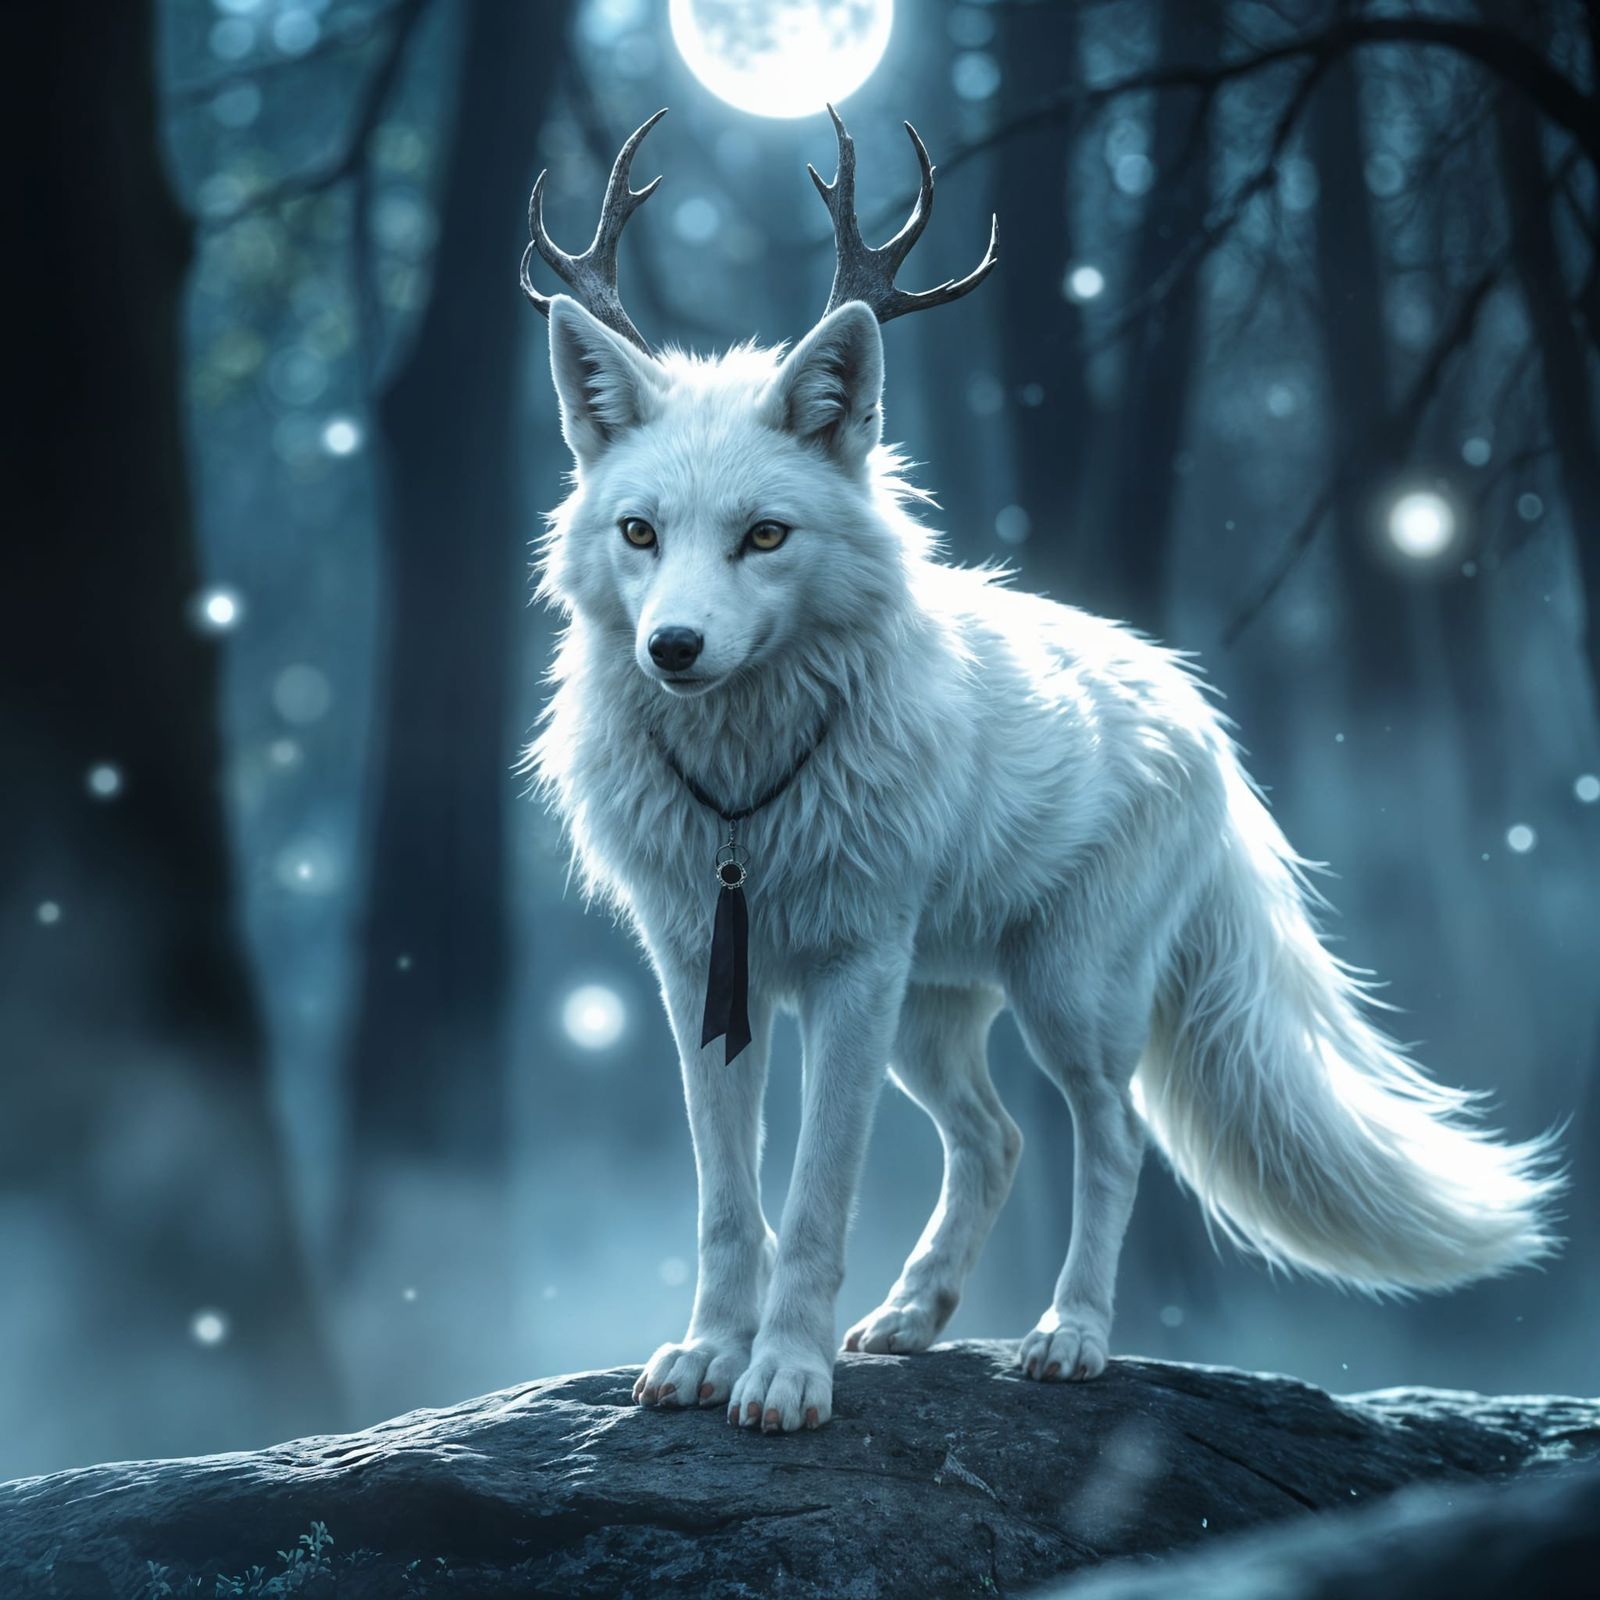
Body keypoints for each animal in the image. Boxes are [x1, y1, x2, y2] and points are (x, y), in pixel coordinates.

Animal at [522, 111, 1560, 1434]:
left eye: (763, 534)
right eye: (639, 532)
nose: (674, 648)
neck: (748, 804)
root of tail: (1192, 703)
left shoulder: (852, 975)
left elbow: (811, 1202)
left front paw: (787, 1374)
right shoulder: (699, 977)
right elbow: (724, 1201)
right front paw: (710, 1353)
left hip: (1066, 1000)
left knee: (1108, 1142)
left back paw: (1068, 1336)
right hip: (933, 1018)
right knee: (997, 1139)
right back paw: (912, 1319)